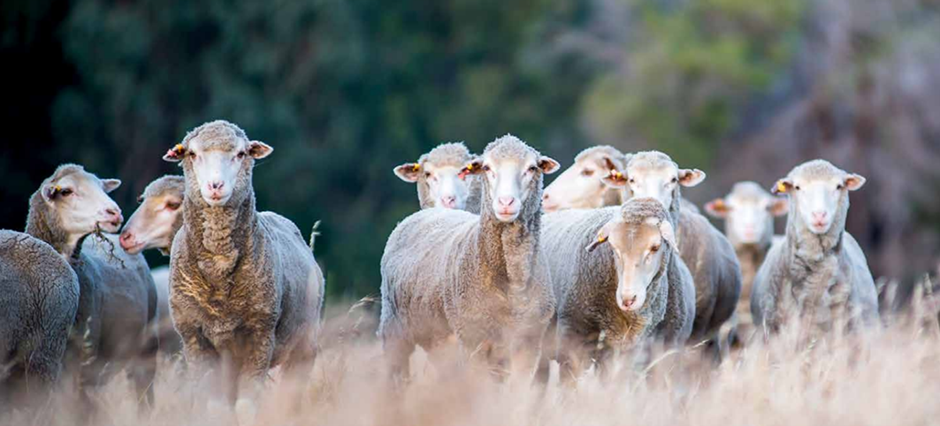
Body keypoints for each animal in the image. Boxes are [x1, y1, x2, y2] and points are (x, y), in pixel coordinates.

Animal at [162, 120, 324, 415]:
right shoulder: (193, 336)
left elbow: (246, 406)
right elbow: (216, 408)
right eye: (192, 154)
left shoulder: (260, 333)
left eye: (240, 154)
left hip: (304, 345)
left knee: (292, 393)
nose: (215, 185)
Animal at [379, 134, 558, 384]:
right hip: (393, 328)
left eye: (532, 168)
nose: (506, 202)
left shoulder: (528, 343)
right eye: (487, 168)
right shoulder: (473, 341)